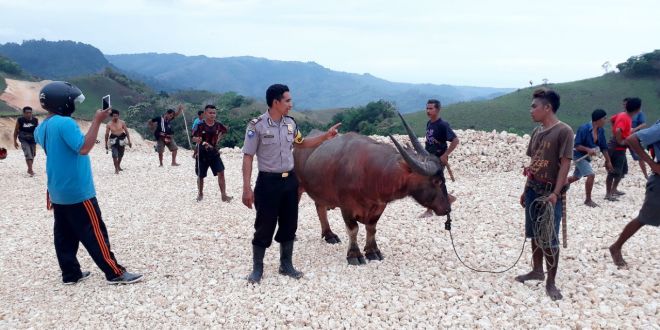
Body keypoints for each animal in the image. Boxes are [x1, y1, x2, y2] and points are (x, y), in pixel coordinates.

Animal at [296, 114, 452, 264]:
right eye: (437, 181)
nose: (447, 208)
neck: (370, 171)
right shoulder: (346, 207)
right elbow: (353, 229)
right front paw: (354, 254)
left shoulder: (380, 206)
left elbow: (371, 228)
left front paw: (373, 251)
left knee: (320, 208)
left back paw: (329, 235)